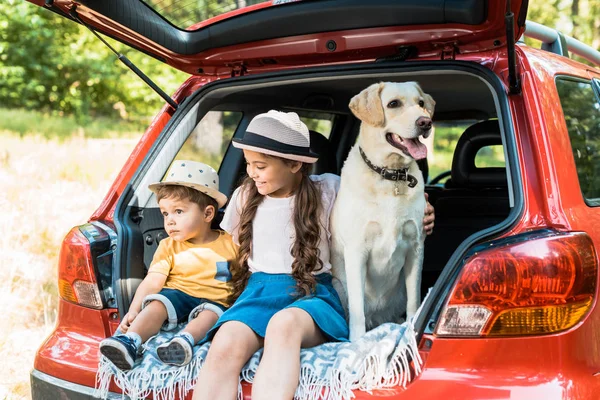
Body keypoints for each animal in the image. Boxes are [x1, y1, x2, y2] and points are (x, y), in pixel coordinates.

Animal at [330, 80, 434, 340]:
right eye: (393, 104)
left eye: (421, 103)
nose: (425, 122)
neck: (391, 176)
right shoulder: (356, 250)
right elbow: (357, 310)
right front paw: (356, 342)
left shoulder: (416, 247)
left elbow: (414, 301)